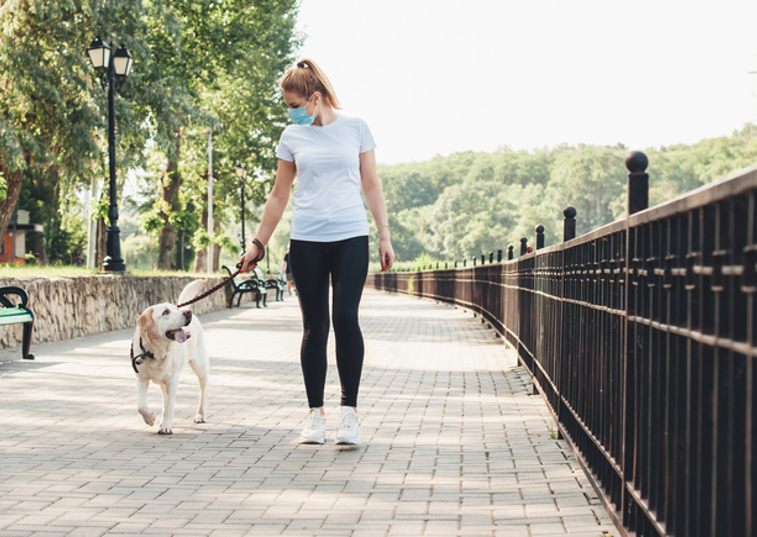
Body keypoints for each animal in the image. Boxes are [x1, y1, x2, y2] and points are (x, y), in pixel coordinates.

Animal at [129, 278, 207, 434]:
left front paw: (165, 426)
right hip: (163, 382)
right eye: (165, 312)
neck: (155, 352)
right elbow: (140, 405)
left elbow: (170, 405)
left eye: (176, 309)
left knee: (202, 392)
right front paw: (150, 418)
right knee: (164, 399)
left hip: (201, 368)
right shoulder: (141, 379)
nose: (187, 313)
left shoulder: (172, 380)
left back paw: (200, 415)